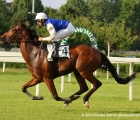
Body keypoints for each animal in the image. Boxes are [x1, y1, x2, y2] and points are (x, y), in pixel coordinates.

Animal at [0, 23, 136, 108]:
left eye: (13, 30)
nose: (1, 37)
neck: (35, 54)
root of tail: (98, 52)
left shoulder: (47, 78)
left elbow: (55, 96)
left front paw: (67, 100)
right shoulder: (37, 78)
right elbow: (23, 87)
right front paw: (38, 97)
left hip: (84, 71)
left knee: (96, 84)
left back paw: (84, 100)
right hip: (77, 71)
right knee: (84, 87)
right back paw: (75, 96)